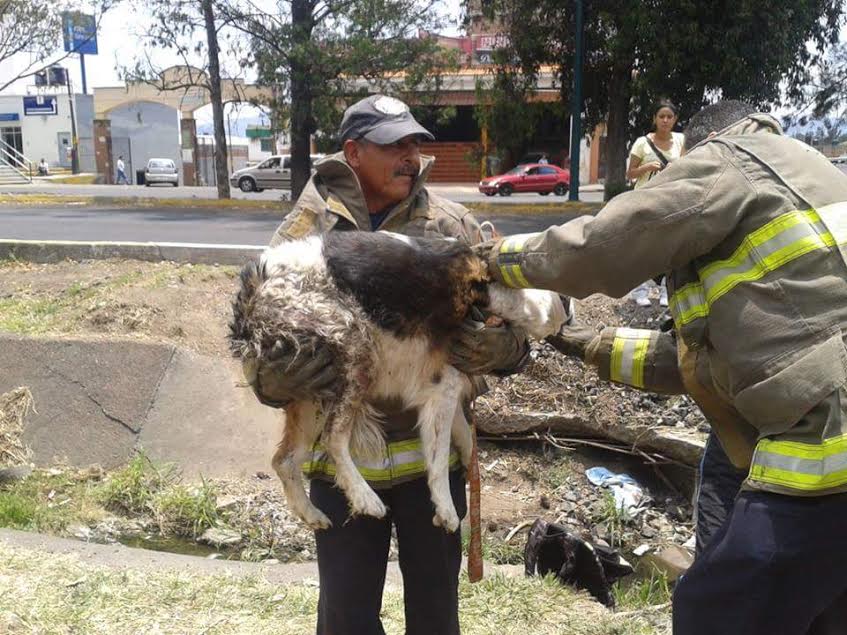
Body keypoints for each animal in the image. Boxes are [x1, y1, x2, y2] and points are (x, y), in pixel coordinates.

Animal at [229, 232, 568, 532]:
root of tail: (256, 283)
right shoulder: (442, 390)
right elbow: (438, 460)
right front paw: (446, 509)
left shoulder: (446, 390)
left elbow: (464, 439)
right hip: (355, 350)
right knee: (332, 439)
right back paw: (365, 498)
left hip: (311, 387)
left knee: (284, 460)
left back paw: (312, 513)